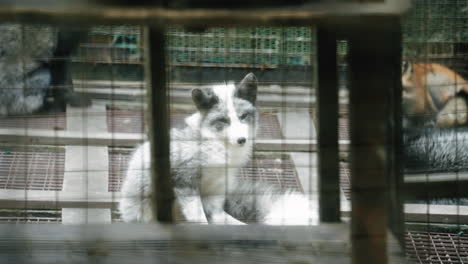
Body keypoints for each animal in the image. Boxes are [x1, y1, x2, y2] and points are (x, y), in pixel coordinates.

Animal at [119, 73, 318, 226]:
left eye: (243, 116)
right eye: (223, 121)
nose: (241, 140)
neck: (219, 147)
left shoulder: (216, 188)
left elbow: (214, 216)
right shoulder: (183, 181)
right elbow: (199, 218)